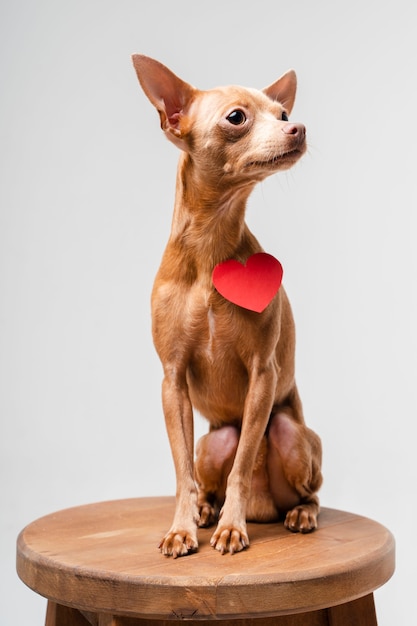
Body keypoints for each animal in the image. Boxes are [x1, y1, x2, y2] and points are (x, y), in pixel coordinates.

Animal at [132, 54, 320, 556]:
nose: (299, 128)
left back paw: (298, 513)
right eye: (237, 117)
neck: (210, 246)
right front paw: (181, 528)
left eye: (283, 113)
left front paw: (232, 528)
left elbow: (242, 465)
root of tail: (264, 507)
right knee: (207, 477)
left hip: (291, 435)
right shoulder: (173, 381)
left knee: (308, 489)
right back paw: (203, 511)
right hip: (212, 443)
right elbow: (183, 473)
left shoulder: (263, 375)